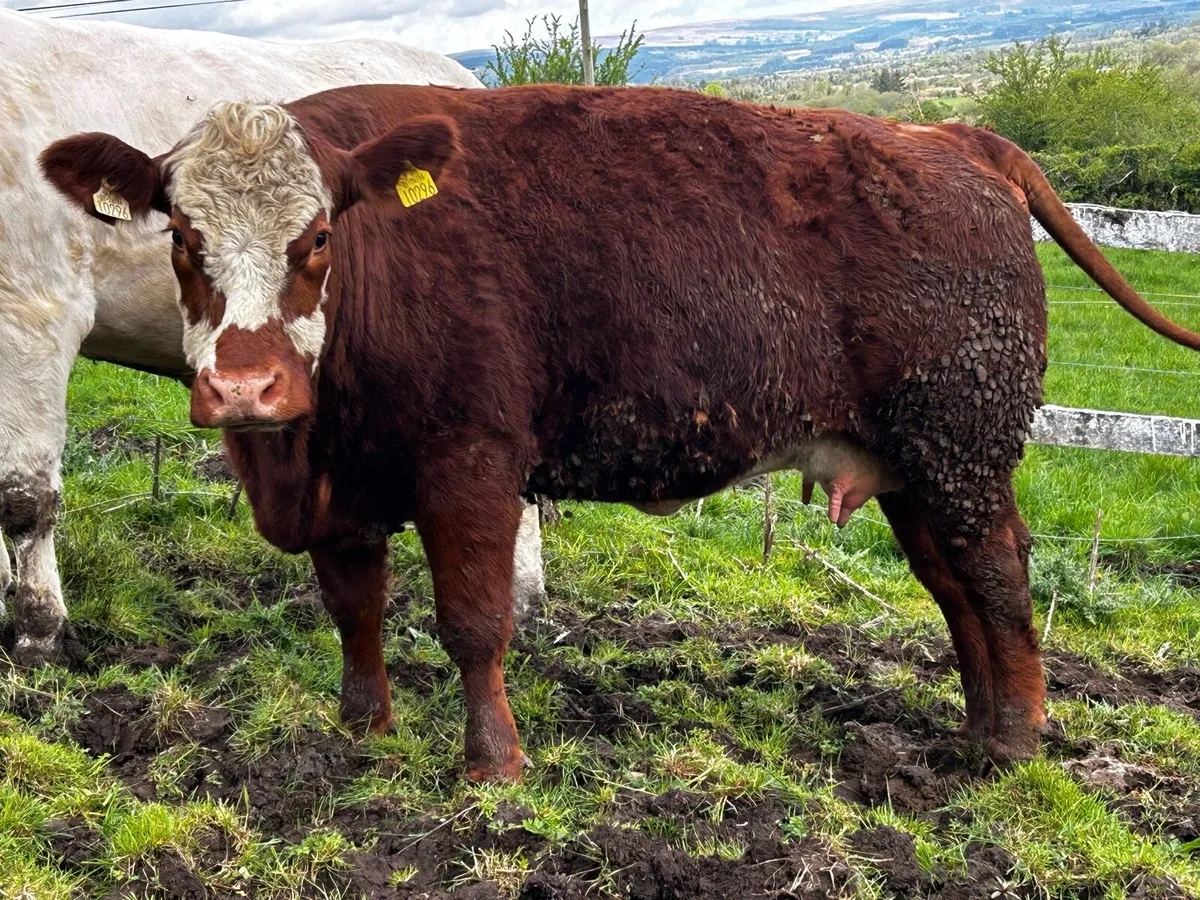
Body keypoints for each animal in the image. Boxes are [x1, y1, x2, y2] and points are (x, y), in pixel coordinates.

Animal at [41, 83, 1200, 782]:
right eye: (181, 237)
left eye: (317, 235)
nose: (246, 387)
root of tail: (947, 138)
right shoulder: (342, 489)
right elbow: (355, 609)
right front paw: (361, 729)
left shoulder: (471, 464)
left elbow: (474, 622)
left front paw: (493, 765)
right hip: (914, 464)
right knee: (955, 587)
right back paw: (972, 731)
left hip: (962, 446)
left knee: (999, 573)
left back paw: (1015, 741)